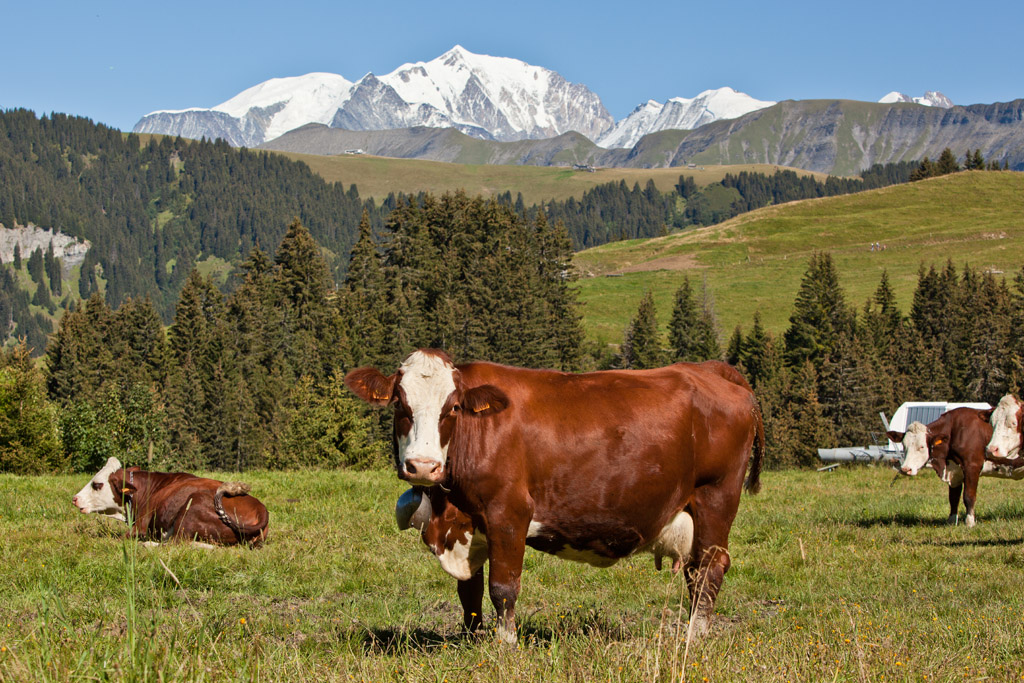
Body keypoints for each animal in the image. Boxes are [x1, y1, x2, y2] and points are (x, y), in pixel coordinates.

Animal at [72, 457, 269, 547]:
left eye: (97, 484)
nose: (75, 499)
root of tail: (260, 509)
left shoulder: (139, 526)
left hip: (192, 506)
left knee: (175, 544)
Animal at [345, 349, 764, 643]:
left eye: (453, 408)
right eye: (400, 404)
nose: (422, 466)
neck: (446, 514)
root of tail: (709, 370)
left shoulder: (508, 512)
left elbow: (503, 587)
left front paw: (506, 647)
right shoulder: (471, 523)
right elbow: (469, 592)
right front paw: (470, 642)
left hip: (716, 497)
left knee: (708, 569)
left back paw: (694, 639)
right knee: (696, 572)